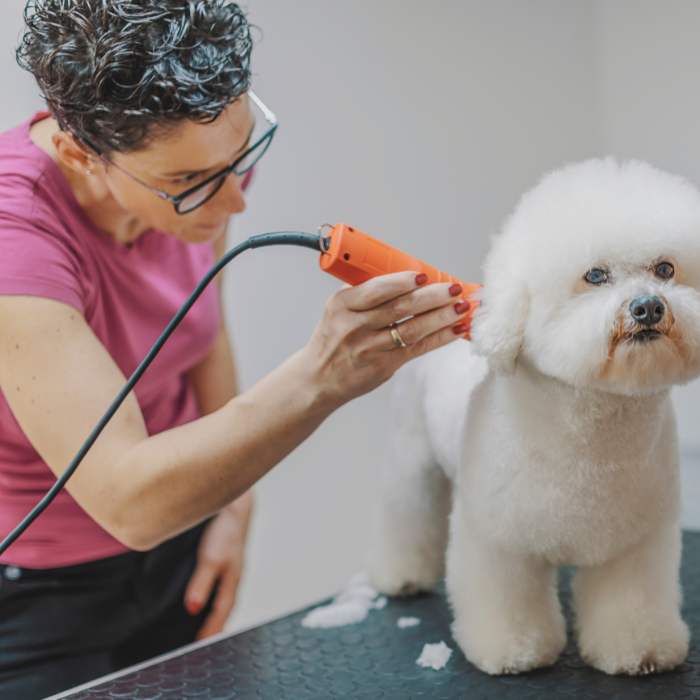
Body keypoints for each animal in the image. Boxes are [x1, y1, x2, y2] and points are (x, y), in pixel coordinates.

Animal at [370, 157, 700, 672]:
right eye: (595, 275)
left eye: (665, 268)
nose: (647, 306)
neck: (591, 437)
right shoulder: (498, 541)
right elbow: (506, 599)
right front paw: (512, 650)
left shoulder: (635, 546)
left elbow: (631, 603)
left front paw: (639, 651)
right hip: (411, 462)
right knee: (406, 514)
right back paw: (401, 575)